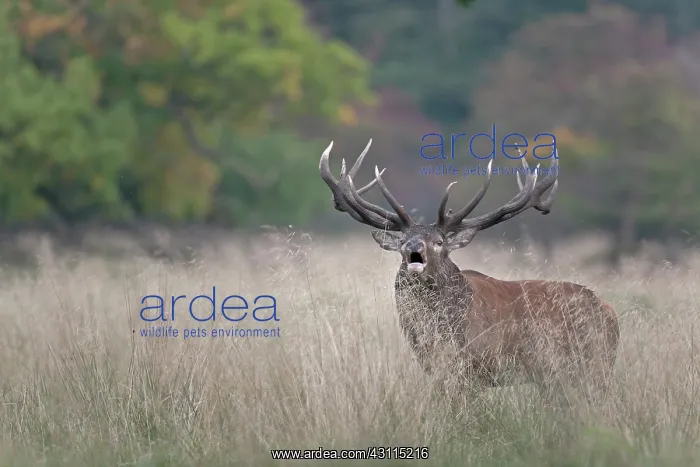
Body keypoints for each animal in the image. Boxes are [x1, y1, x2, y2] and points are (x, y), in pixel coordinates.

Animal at [319, 139, 620, 404]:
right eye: (403, 241)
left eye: (439, 242)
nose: (415, 248)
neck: (439, 333)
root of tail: (608, 310)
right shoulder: (435, 368)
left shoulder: (476, 367)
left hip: (596, 362)